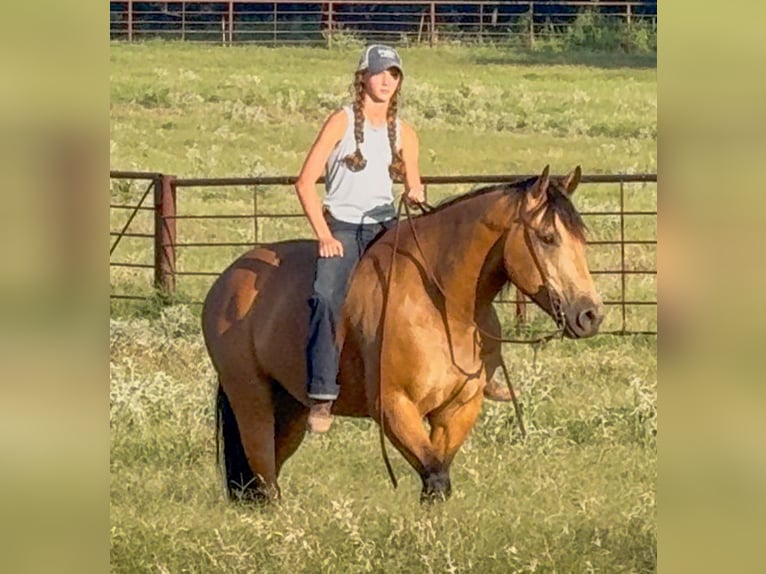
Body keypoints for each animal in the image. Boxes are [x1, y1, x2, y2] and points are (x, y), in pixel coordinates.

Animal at [202, 165, 603, 503]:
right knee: (264, 476)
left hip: (290, 407)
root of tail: (227, 283)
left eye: (582, 240)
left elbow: (437, 479)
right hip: (251, 400)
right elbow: (435, 477)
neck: (440, 305)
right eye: (548, 237)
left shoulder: (457, 410)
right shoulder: (395, 406)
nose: (590, 315)